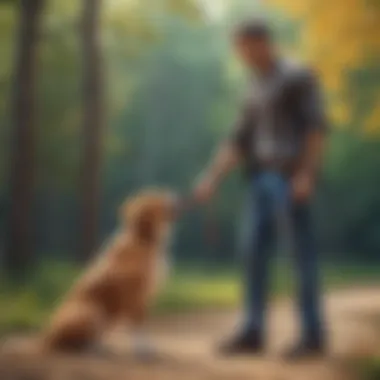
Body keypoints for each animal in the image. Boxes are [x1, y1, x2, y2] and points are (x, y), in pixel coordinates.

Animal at [37, 189, 178, 356]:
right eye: (157, 197)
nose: (176, 199)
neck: (142, 239)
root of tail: (45, 337)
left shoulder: (143, 298)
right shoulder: (135, 297)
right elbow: (138, 327)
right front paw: (143, 350)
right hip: (92, 312)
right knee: (73, 344)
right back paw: (94, 350)